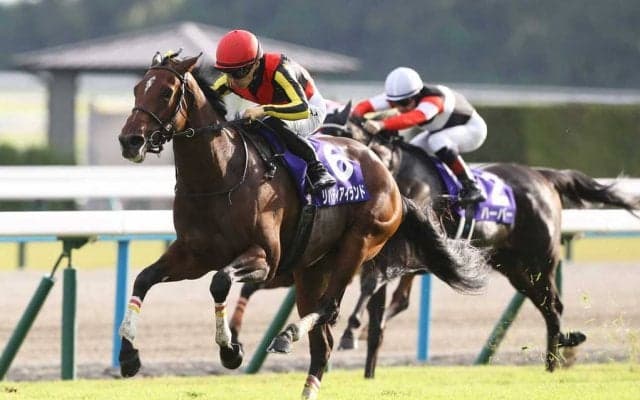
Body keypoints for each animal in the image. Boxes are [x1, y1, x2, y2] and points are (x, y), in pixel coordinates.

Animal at [116, 51, 489, 399]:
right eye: (136, 88)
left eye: (166, 92)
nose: (130, 140)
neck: (220, 175)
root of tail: (391, 181)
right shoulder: (193, 255)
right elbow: (144, 279)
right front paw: (129, 356)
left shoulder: (265, 258)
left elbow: (220, 282)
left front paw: (231, 349)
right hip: (312, 269)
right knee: (322, 342)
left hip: (358, 245)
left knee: (330, 309)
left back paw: (287, 335)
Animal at [323, 108, 640, 377]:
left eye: (340, 135)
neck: (397, 174)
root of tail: (543, 175)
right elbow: (376, 307)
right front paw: (365, 359)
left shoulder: (396, 256)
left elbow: (371, 288)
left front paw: (351, 332)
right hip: (515, 269)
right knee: (546, 305)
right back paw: (555, 356)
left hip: (540, 260)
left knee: (554, 306)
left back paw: (553, 361)